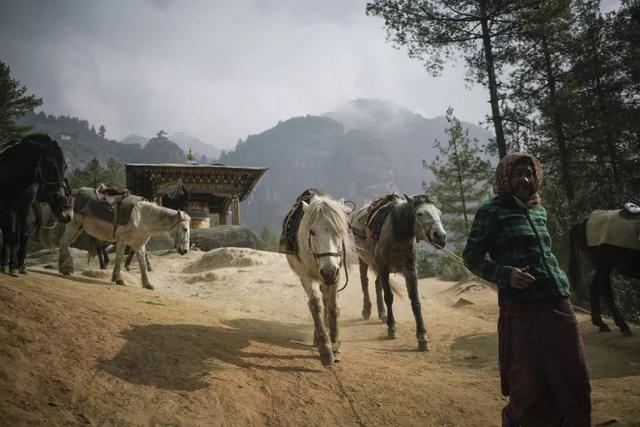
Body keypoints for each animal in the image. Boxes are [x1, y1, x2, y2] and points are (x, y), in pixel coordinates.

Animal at [0, 135, 73, 278]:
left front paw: (20, 264)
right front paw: (12, 266)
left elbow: (23, 234)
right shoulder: (9, 207)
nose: (66, 215)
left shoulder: (25, 208)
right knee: (6, 233)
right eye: (50, 163)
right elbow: (12, 235)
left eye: (65, 166)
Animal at [59, 199, 190, 290]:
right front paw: (118, 279)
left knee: (66, 244)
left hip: (79, 229)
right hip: (74, 226)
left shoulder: (138, 244)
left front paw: (148, 284)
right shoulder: (122, 240)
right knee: (65, 243)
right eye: (185, 229)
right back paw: (67, 269)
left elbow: (142, 263)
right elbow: (119, 258)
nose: (184, 250)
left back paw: (65, 268)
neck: (142, 217)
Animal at [284, 192, 352, 366]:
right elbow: (315, 304)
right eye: (312, 231)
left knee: (326, 300)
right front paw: (325, 348)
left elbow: (333, 306)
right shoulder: (307, 276)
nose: (328, 272)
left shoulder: (336, 275)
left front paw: (336, 345)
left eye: (339, 230)